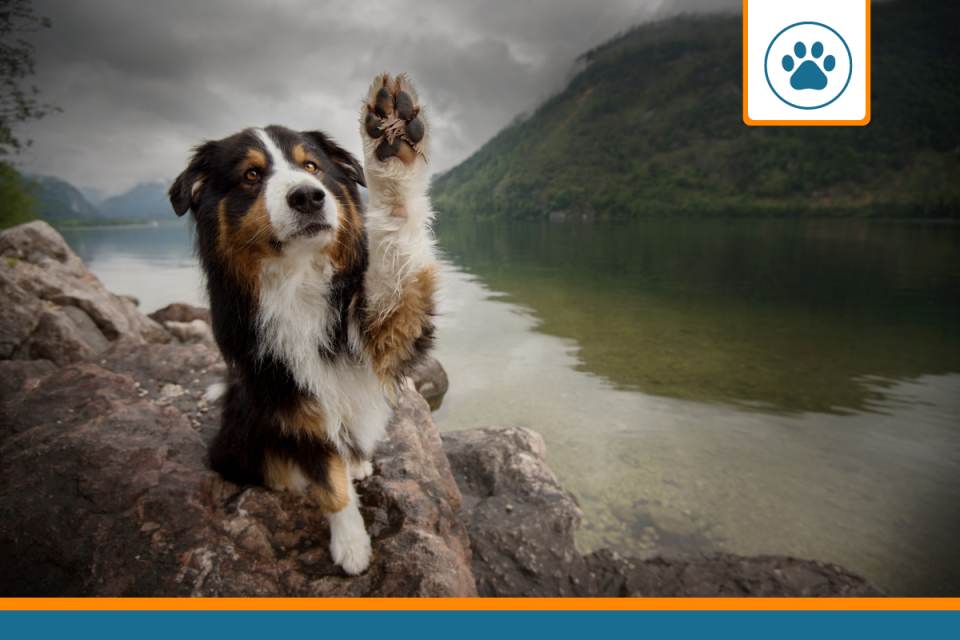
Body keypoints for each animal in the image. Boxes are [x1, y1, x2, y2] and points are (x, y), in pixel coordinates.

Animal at [170, 74, 438, 576]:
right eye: (251, 175)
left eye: (311, 166)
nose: (310, 196)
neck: (298, 276)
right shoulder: (290, 398)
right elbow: (328, 481)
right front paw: (352, 547)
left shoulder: (385, 324)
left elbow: (398, 243)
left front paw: (391, 141)